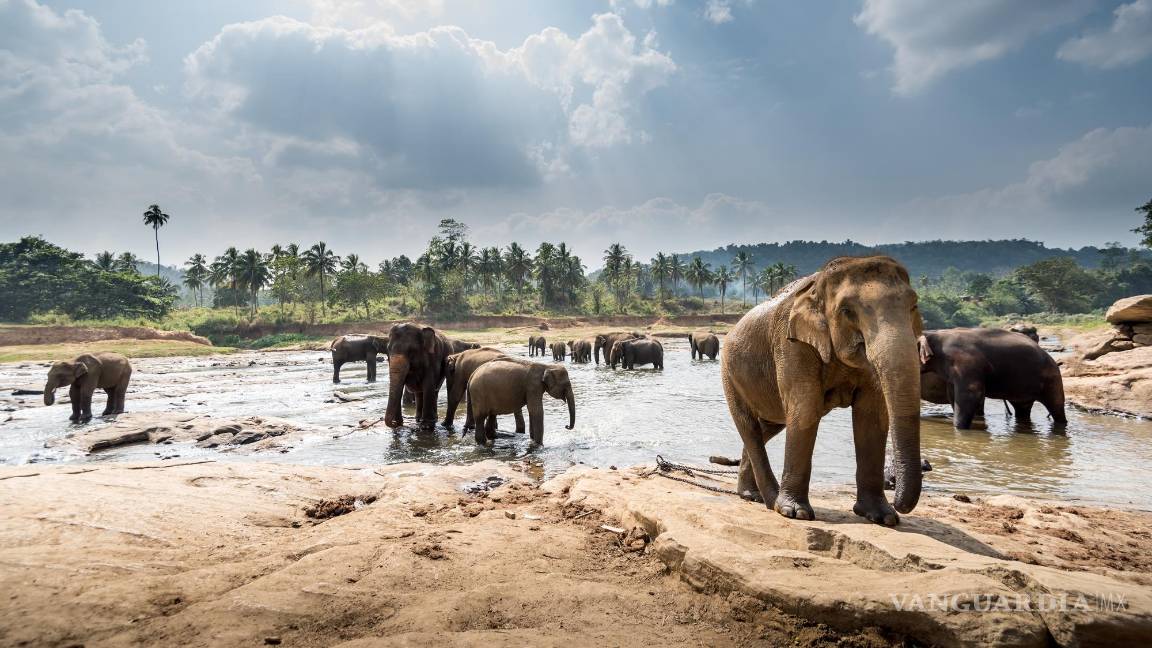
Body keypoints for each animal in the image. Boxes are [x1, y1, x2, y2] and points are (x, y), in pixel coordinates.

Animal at [721, 256, 924, 527]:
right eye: (847, 311)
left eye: (914, 306)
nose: (898, 502)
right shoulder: (791, 344)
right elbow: (806, 410)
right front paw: (794, 512)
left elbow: (871, 417)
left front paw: (883, 517)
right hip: (730, 375)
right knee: (750, 427)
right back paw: (772, 500)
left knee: (769, 426)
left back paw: (752, 495)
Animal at [918, 328, 1066, 430]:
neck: (933, 335)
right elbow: (953, 395)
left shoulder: (965, 364)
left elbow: (971, 393)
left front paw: (959, 428)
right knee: (1022, 409)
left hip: (1052, 379)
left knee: (1056, 407)